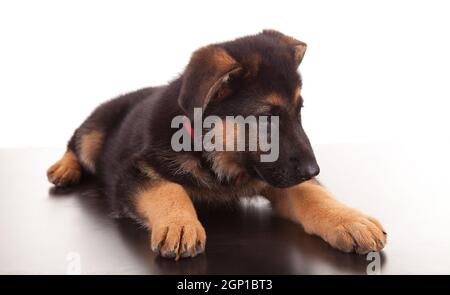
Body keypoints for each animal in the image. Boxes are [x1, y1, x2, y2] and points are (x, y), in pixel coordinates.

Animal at [48, 30, 386, 260]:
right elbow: (168, 189)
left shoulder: (276, 175)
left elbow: (311, 194)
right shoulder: (131, 173)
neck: (216, 156)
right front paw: (180, 223)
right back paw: (64, 168)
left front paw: (349, 219)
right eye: (267, 118)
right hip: (94, 132)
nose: (313, 170)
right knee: (76, 142)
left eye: (299, 111)